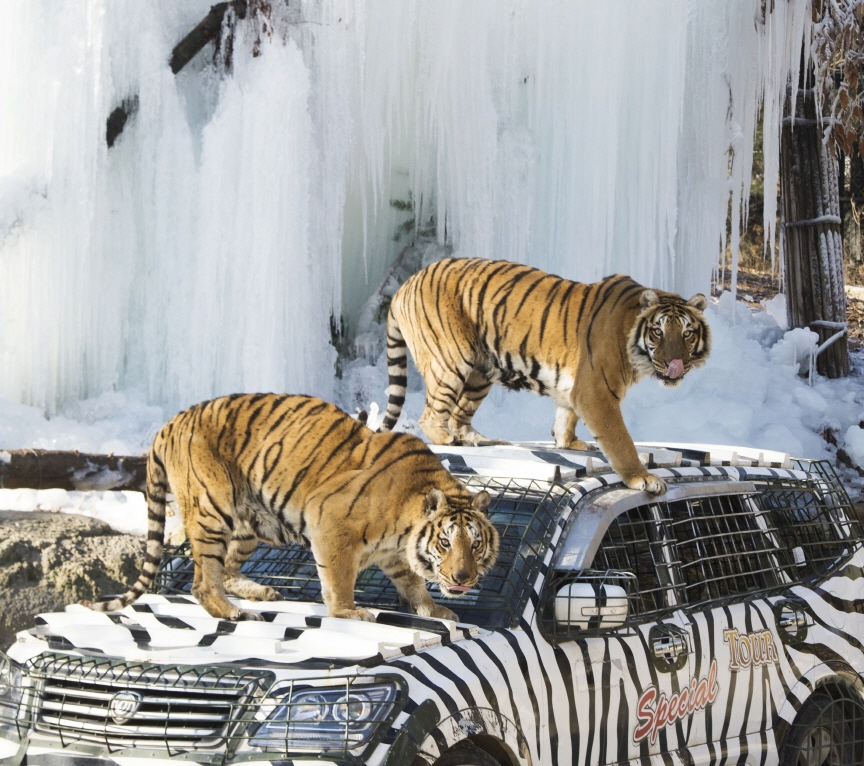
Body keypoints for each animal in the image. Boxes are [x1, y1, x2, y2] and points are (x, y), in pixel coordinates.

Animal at [82, 396, 500, 624]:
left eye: (475, 544)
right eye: (445, 543)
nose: (463, 578)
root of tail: (168, 425)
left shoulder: (395, 555)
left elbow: (413, 584)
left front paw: (434, 610)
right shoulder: (330, 521)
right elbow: (339, 578)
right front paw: (348, 612)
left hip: (247, 523)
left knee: (227, 569)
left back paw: (260, 592)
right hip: (212, 508)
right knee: (202, 580)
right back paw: (232, 612)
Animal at [382, 258, 712, 498]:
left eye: (687, 333)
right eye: (658, 332)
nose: (674, 364)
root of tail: (405, 285)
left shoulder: (576, 388)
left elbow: (566, 417)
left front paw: (569, 443)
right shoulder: (597, 392)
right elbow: (621, 441)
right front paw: (642, 478)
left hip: (480, 372)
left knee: (459, 415)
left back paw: (479, 440)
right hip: (451, 360)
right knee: (430, 416)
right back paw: (447, 439)